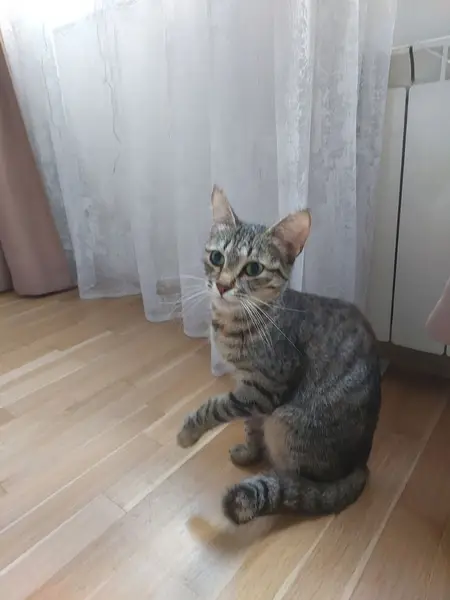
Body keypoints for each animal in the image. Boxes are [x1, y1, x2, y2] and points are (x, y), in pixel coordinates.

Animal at [176, 185, 381, 525]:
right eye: (217, 257)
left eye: (253, 268)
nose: (222, 285)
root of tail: (360, 464)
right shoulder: (249, 390)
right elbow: (251, 426)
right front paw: (249, 453)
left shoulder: (262, 390)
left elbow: (213, 406)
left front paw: (189, 432)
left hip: (286, 422)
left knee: (297, 481)